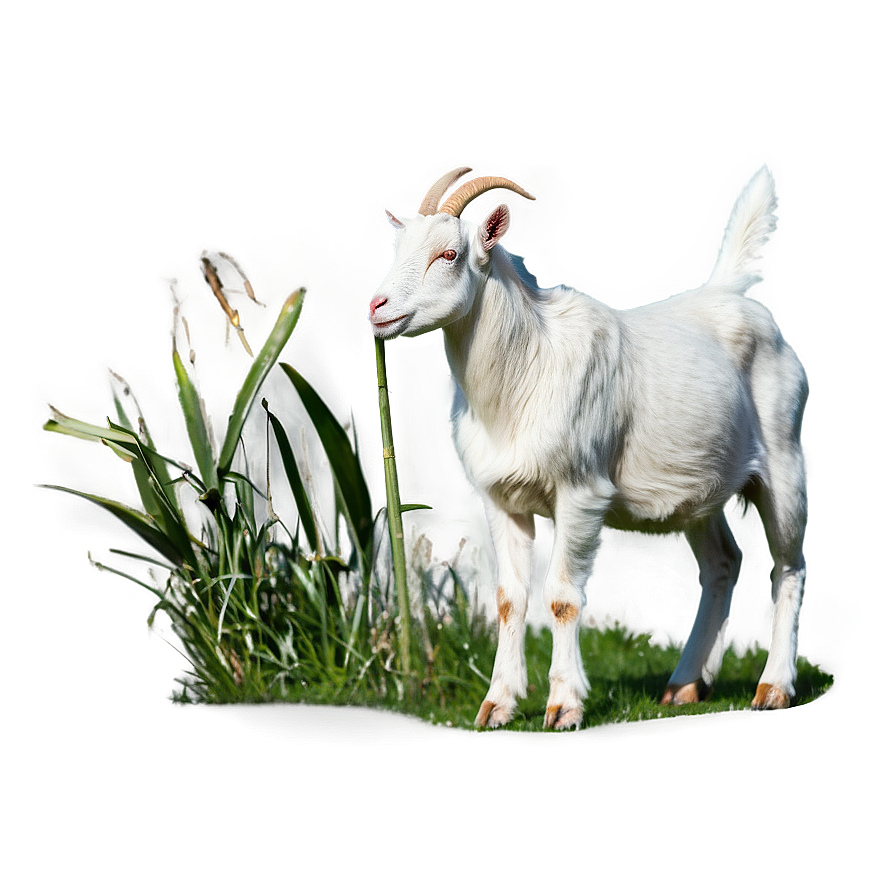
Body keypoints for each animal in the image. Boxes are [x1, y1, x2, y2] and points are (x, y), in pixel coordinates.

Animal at [368, 166, 808, 728]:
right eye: (395, 247)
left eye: (448, 254)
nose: (376, 307)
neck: (529, 368)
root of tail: (728, 291)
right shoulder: (499, 500)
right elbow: (508, 598)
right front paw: (497, 704)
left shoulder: (580, 490)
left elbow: (561, 597)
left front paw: (564, 704)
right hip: (701, 485)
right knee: (724, 562)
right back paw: (686, 683)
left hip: (783, 455)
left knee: (789, 567)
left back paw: (773, 686)